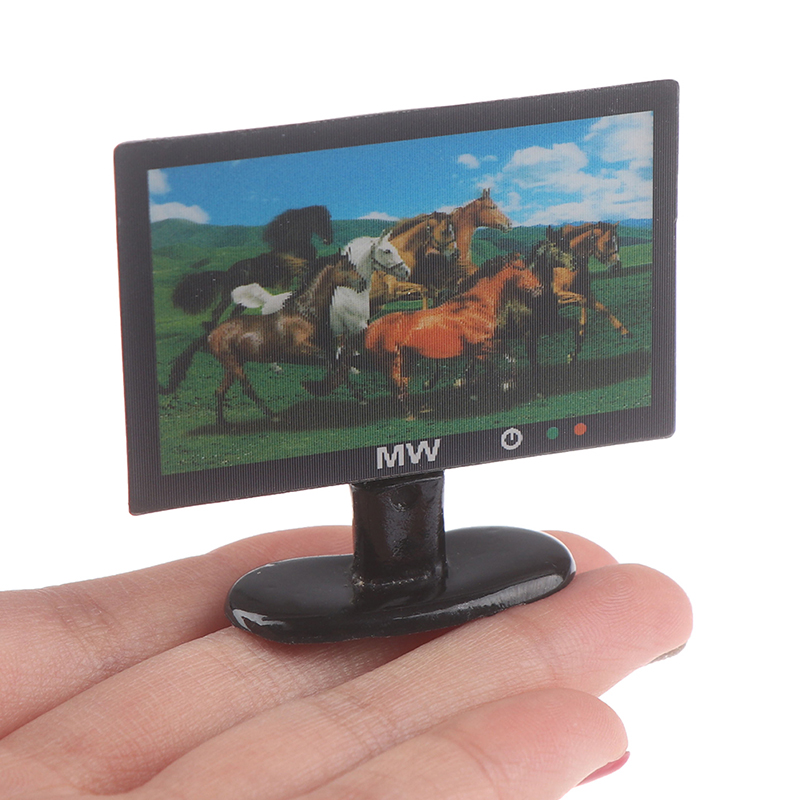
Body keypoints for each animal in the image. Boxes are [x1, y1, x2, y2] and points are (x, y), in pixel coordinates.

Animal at [207, 255, 361, 424]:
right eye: (344, 268)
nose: (362, 282)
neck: (304, 315)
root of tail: (212, 335)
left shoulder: (325, 346)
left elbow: (336, 363)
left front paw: (358, 396)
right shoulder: (298, 349)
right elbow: (329, 360)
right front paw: (319, 388)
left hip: (234, 364)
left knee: (220, 391)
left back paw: (223, 423)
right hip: (234, 364)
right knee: (246, 389)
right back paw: (274, 416)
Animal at [364, 253, 542, 411]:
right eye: (521, 268)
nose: (539, 288)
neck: (473, 307)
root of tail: (371, 329)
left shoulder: (485, 346)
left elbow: (508, 357)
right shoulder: (481, 347)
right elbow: (497, 364)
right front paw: (502, 385)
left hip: (405, 360)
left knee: (400, 388)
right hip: (394, 362)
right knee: (399, 389)